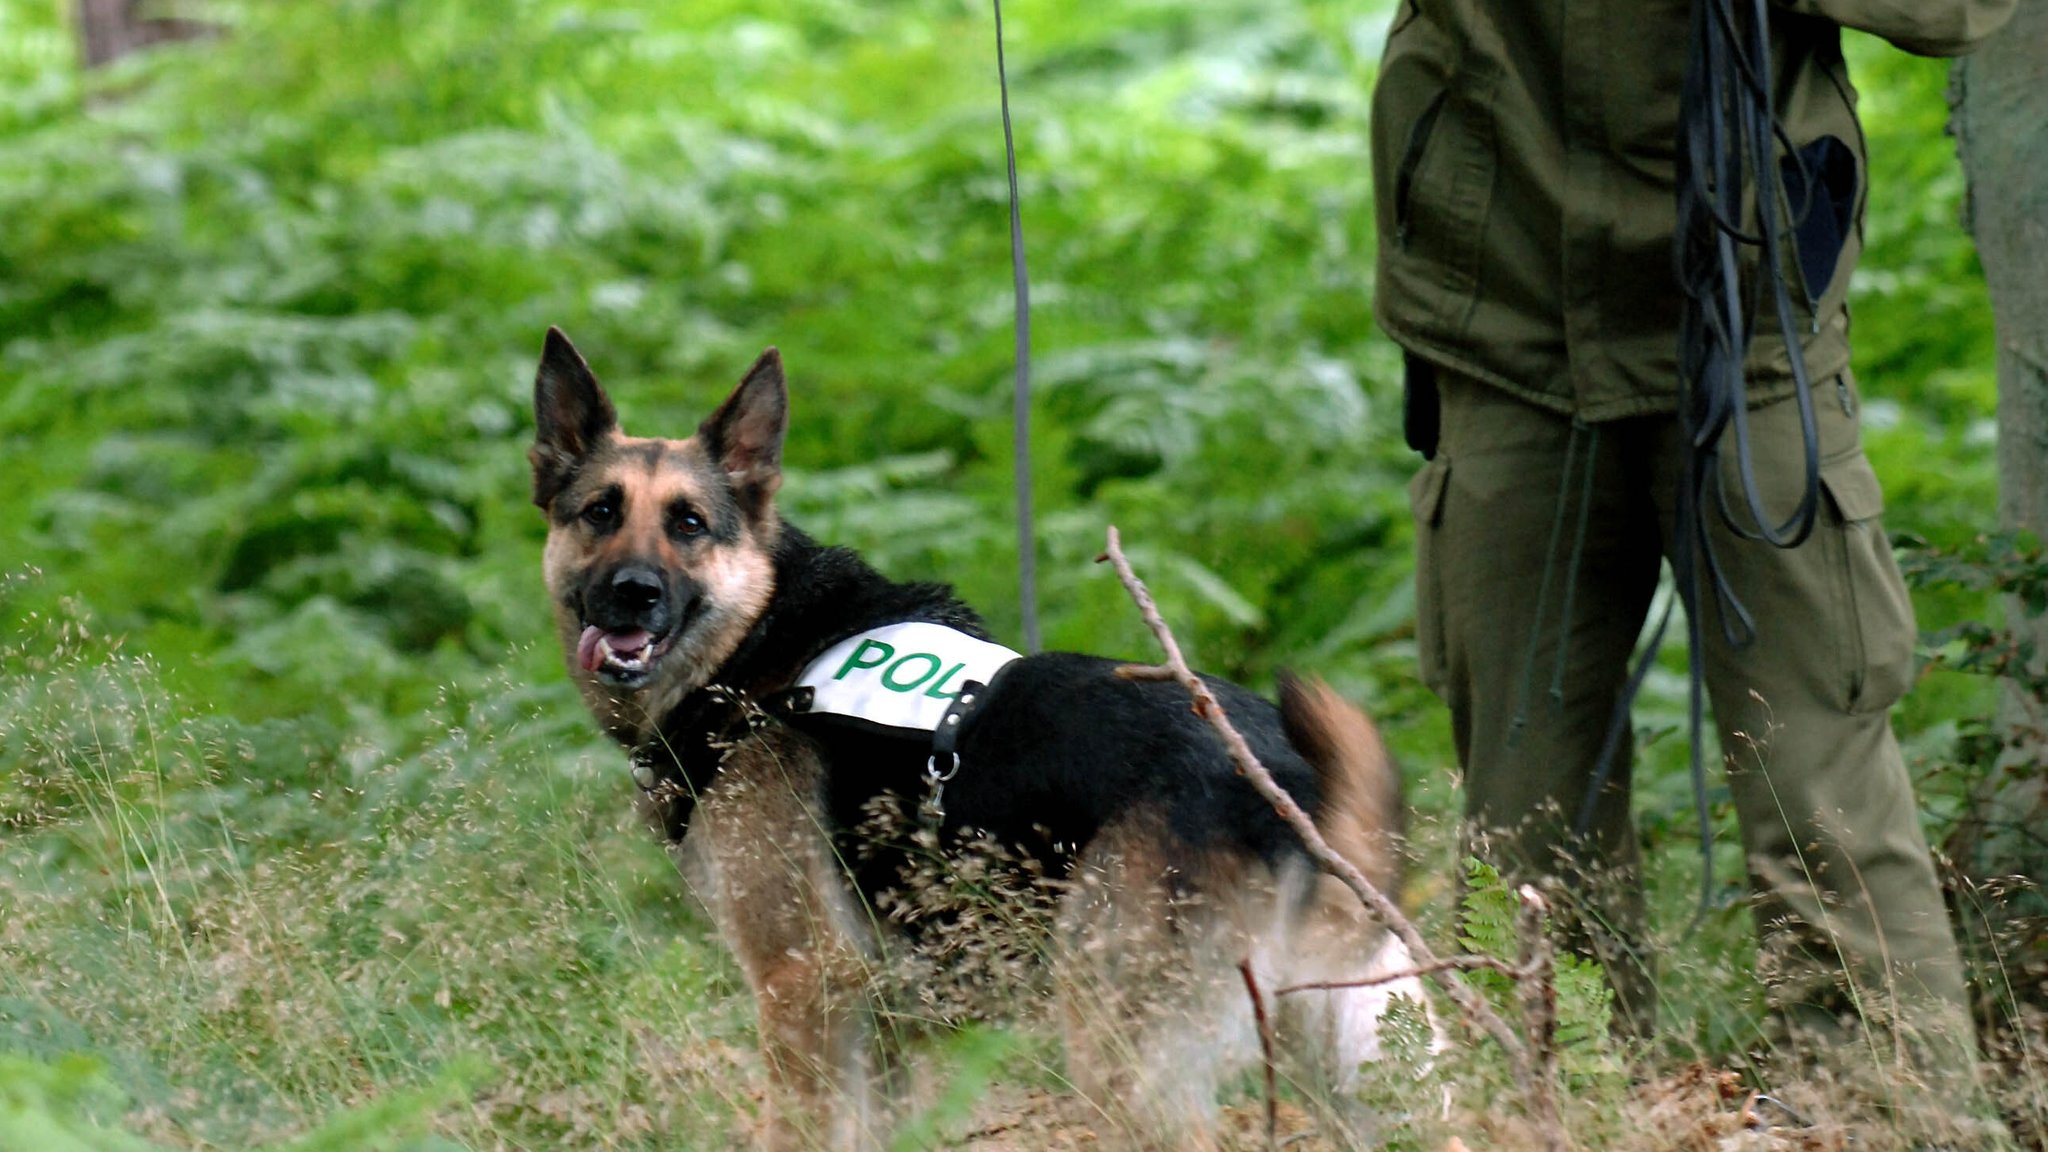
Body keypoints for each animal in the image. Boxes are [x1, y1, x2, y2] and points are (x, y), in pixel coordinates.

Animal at [528, 327, 1425, 1139]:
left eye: (688, 524)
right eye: (600, 513)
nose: (634, 593)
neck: (761, 643)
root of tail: (1295, 793)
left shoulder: (801, 991)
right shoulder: (880, 1032)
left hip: (1123, 1064)